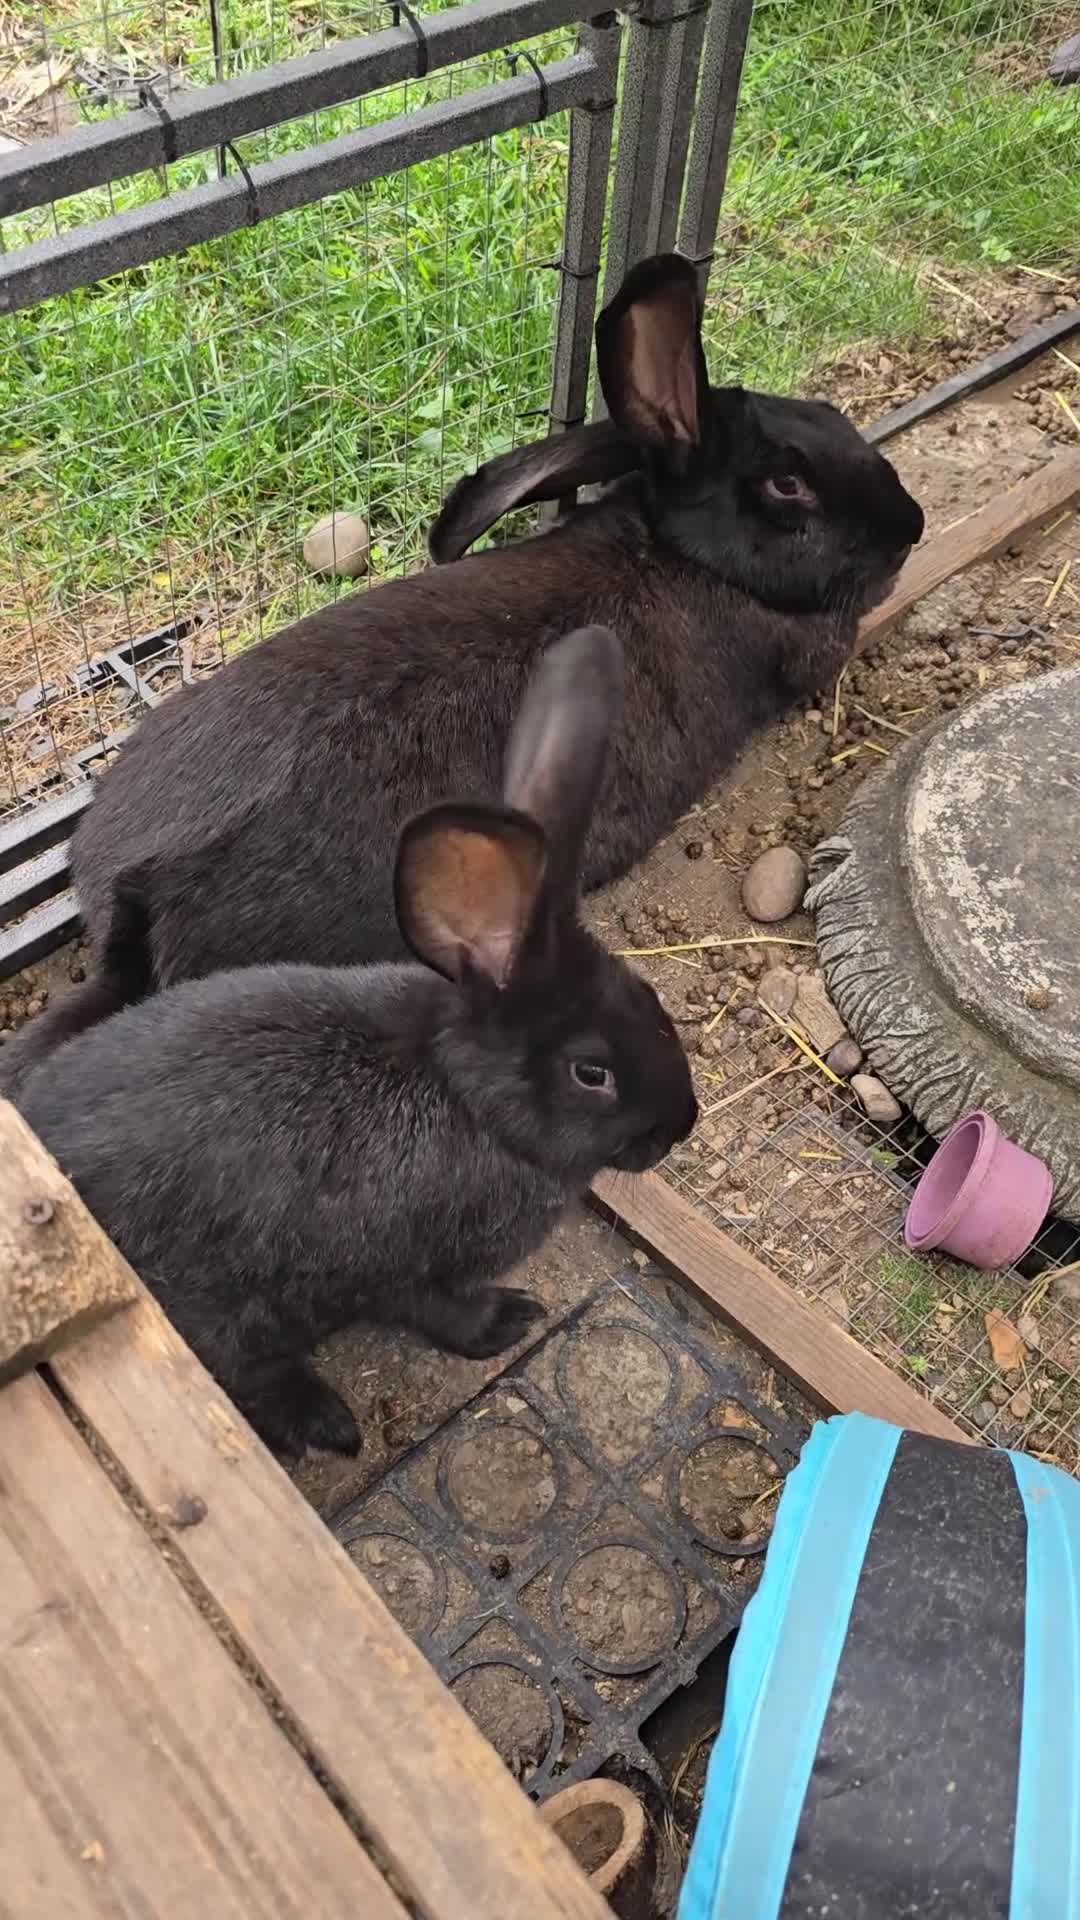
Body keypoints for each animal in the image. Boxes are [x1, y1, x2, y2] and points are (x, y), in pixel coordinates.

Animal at [15, 627, 698, 1462]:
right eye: (591, 1072)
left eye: (651, 1000)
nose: (682, 1125)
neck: (467, 1097)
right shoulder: (404, 1268)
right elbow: (439, 1311)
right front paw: (510, 1320)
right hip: (221, 1314)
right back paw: (329, 1425)